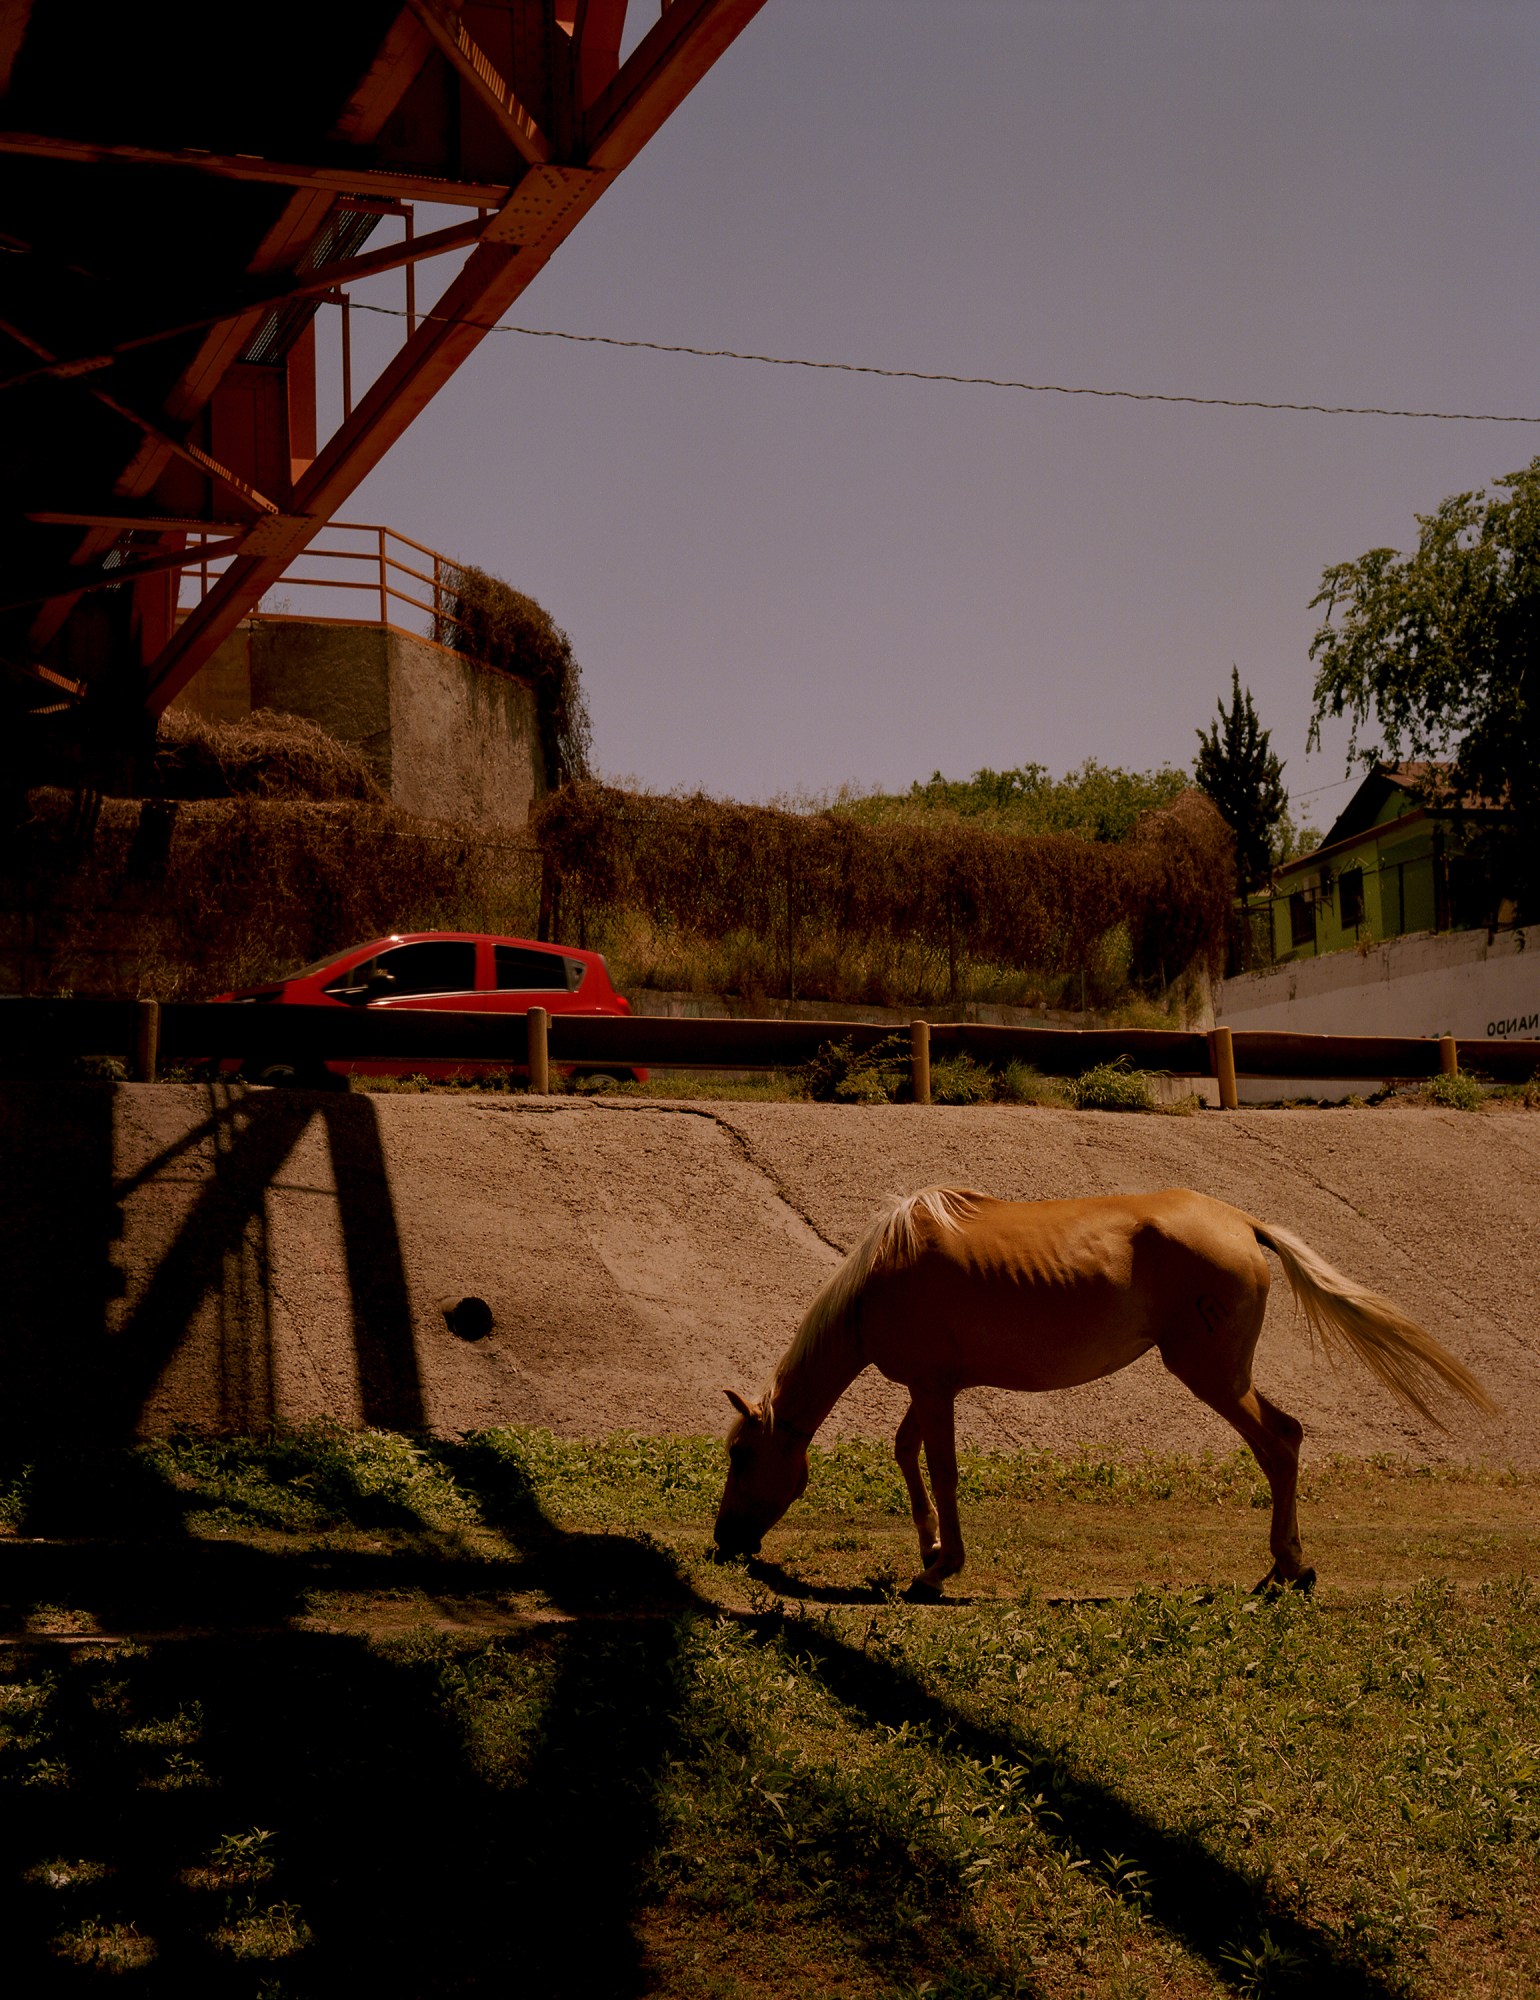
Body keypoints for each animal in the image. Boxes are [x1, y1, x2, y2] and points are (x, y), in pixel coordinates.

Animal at [713, 1186, 1495, 1591]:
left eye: (740, 1456)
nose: (724, 1541)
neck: (884, 1275)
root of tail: (1243, 1223)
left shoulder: (934, 1391)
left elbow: (941, 1467)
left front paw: (942, 1568)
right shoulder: (930, 1391)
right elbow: (908, 1457)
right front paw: (931, 1548)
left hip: (1212, 1377)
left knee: (1277, 1445)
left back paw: (1289, 1565)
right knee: (1289, 1437)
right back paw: (1289, 1564)